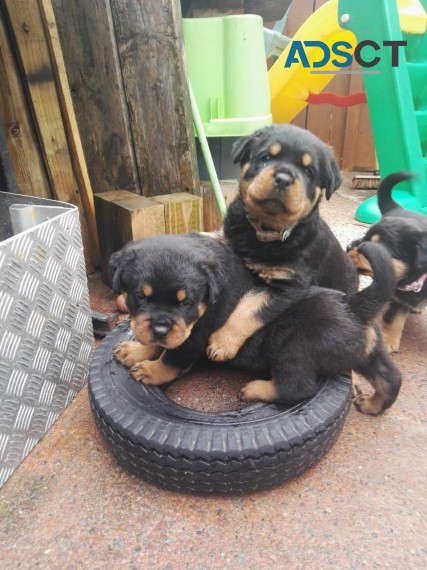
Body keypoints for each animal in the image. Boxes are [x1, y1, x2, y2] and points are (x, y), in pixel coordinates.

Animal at [109, 231, 402, 412]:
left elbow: (171, 357)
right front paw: (135, 350)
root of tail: (354, 305)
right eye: (140, 296)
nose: (160, 329)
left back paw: (255, 389)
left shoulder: (194, 335)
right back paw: (374, 404)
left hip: (296, 351)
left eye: (186, 302)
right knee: (389, 378)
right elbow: (152, 337)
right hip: (369, 351)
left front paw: (150, 370)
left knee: (297, 388)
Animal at [206, 124, 360, 360]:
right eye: (267, 157)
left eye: (309, 171)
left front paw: (221, 342)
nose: (284, 179)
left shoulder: (287, 285)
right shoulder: (228, 238)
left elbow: (249, 310)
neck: (263, 232)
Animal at [348, 171, 427, 352]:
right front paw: (389, 340)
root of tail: (398, 208)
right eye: (364, 238)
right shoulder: (399, 296)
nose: (348, 246)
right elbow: (394, 318)